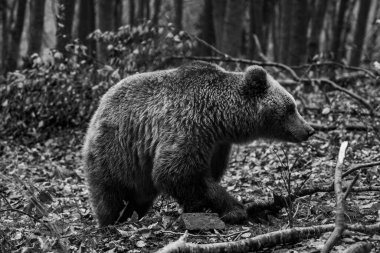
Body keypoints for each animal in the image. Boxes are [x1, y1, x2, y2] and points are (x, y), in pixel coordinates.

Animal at [83, 60, 314, 225]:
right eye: (291, 107)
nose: (309, 130)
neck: (219, 119)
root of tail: (98, 107)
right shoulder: (189, 128)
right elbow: (178, 172)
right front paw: (234, 209)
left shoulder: (218, 145)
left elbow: (205, 174)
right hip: (115, 150)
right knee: (110, 193)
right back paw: (112, 220)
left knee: (139, 196)